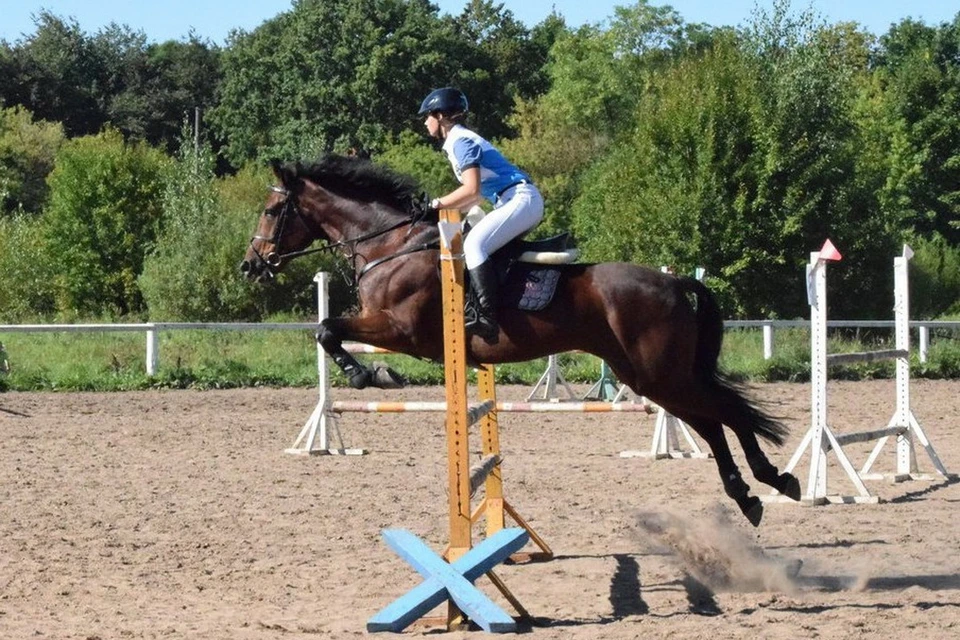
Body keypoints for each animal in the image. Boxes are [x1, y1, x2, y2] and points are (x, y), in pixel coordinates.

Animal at [242, 154, 804, 524]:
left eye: (271, 211)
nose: (251, 265)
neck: (392, 244)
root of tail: (672, 281)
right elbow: (327, 330)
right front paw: (370, 372)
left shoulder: (401, 329)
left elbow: (327, 330)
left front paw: (368, 374)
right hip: (649, 376)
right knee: (712, 419)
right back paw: (754, 492)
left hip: (658, 374)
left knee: (719, 414)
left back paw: (770, 482)